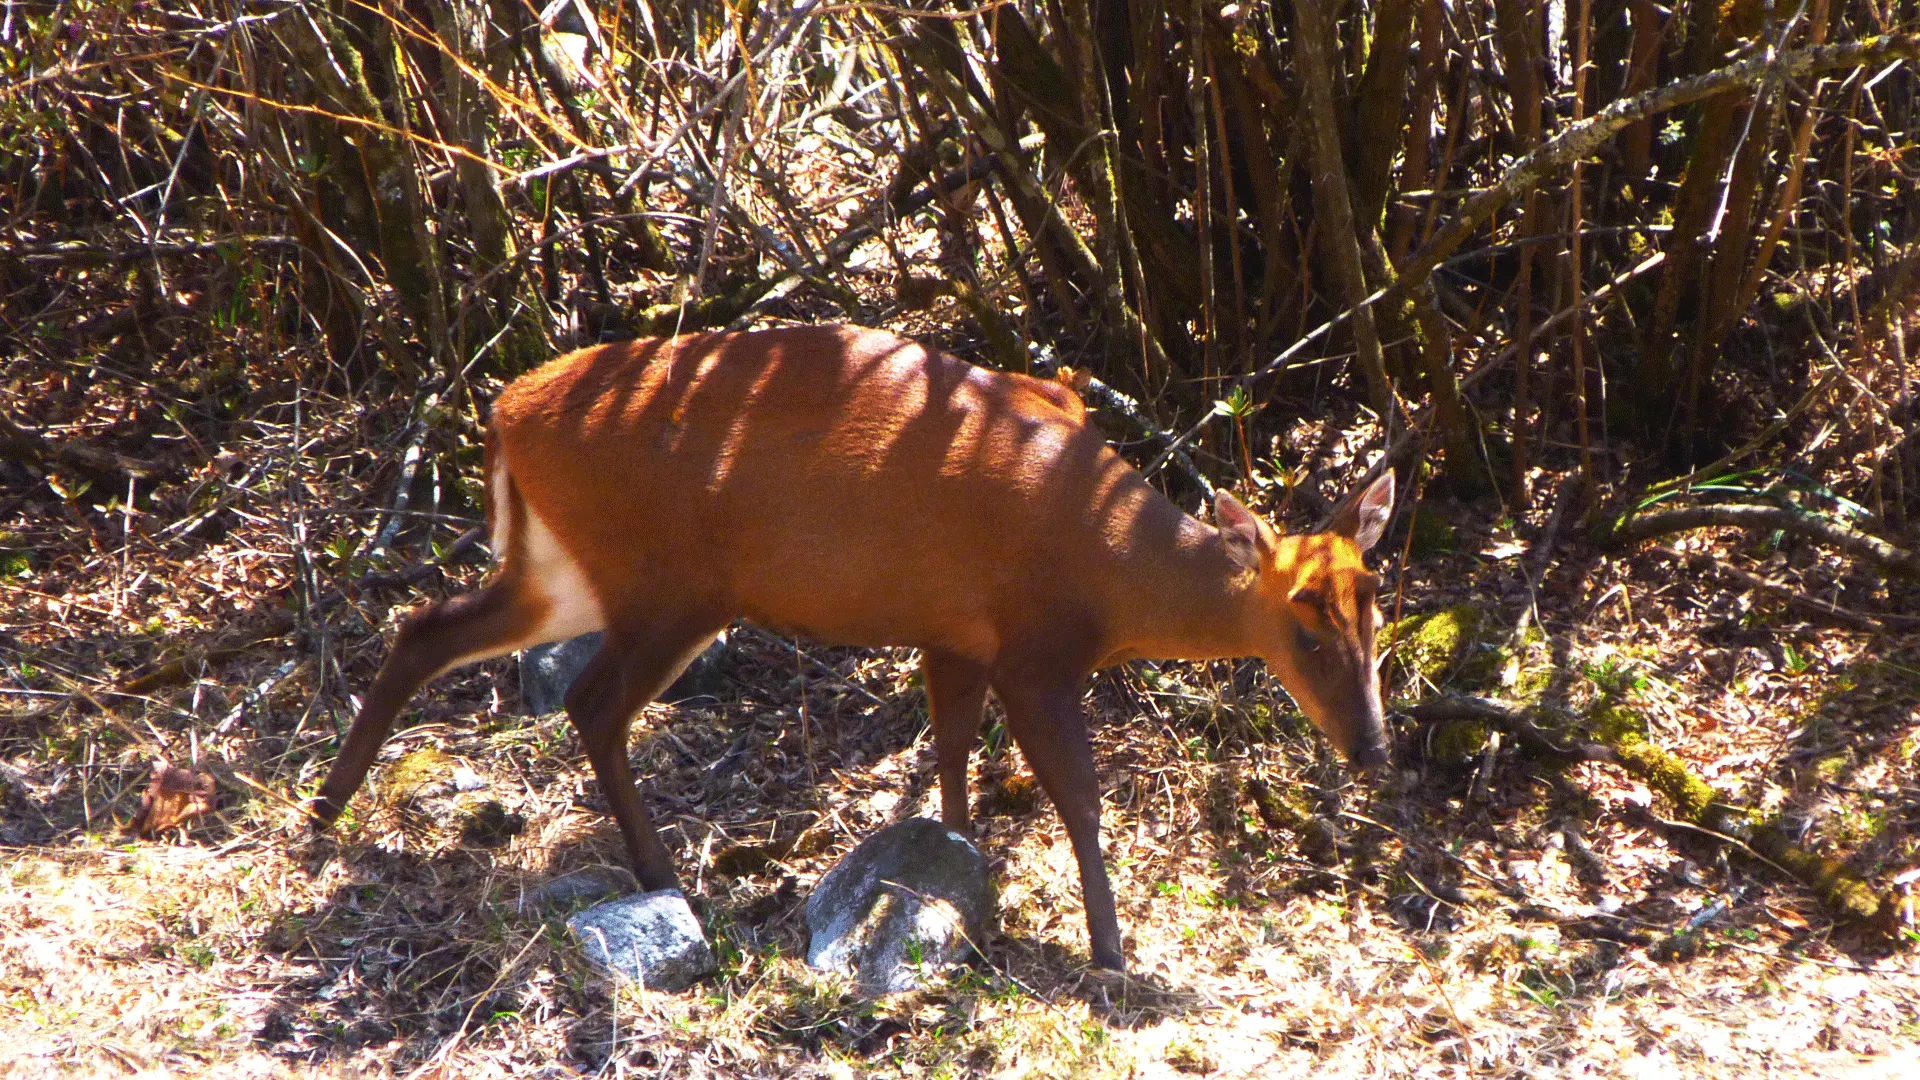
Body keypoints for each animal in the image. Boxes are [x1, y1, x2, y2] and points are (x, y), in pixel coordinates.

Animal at [308, 324, 1395, 973]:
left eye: (1374, 603)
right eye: (1304, 623)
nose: (1372, 746)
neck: (1111, 568)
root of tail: (502, 415)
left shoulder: (956, 635)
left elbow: (952, 756)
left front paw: (958, 873)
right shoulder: (1034, 650)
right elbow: (1080, 800)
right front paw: (1109, 951)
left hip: (566, 569)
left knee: (426, 627)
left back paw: (326, 809)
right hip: (672, 585)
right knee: (590, 701)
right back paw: (662, 874)